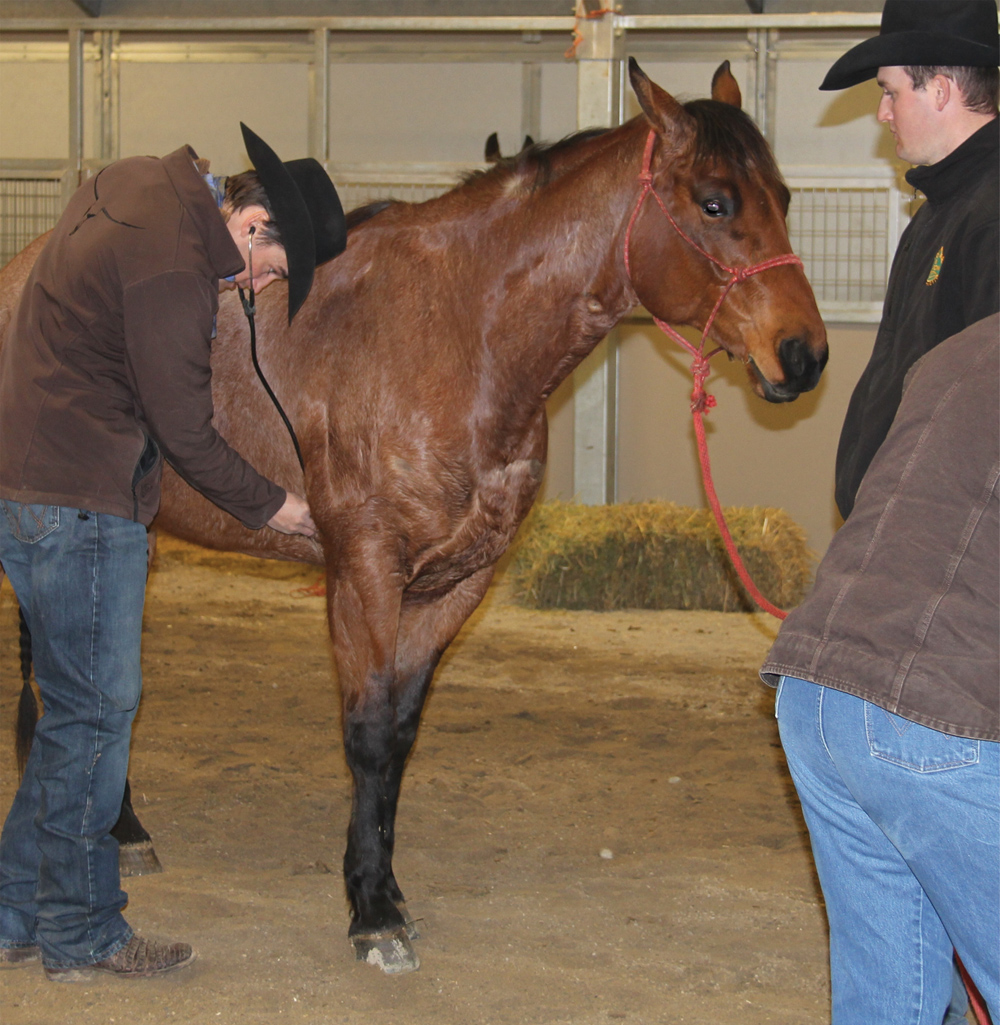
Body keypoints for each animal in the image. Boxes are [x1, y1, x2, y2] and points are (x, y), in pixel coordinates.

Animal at [0, 59, 827, 974]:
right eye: (714, 202)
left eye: (784, 196)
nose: (804, 354)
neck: (458, 336)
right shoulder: (364, 572)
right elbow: (365, 732)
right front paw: (371, 914)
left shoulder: (455, 584)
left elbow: (396, 735)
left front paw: (383, 886)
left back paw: (122, 826)